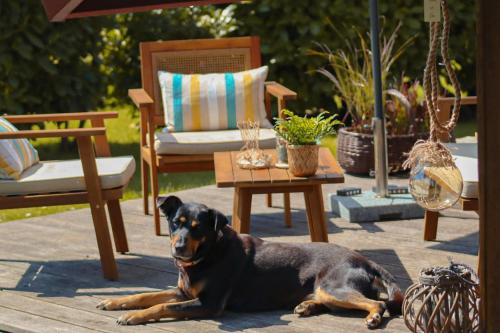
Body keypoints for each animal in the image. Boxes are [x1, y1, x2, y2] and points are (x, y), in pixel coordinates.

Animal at [96, 195, 402, 326]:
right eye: (175, 223)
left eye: (197, 227)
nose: (179, 248)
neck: (207, 254)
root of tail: (366, 260)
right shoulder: (183, 292)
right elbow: (145, 295)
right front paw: (114, 302)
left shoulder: (209, 303)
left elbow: (159, 306)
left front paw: (134, 316)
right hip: (327, 291)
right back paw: (305, 306)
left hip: (333, 287)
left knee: (376, 303)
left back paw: (373, 317)